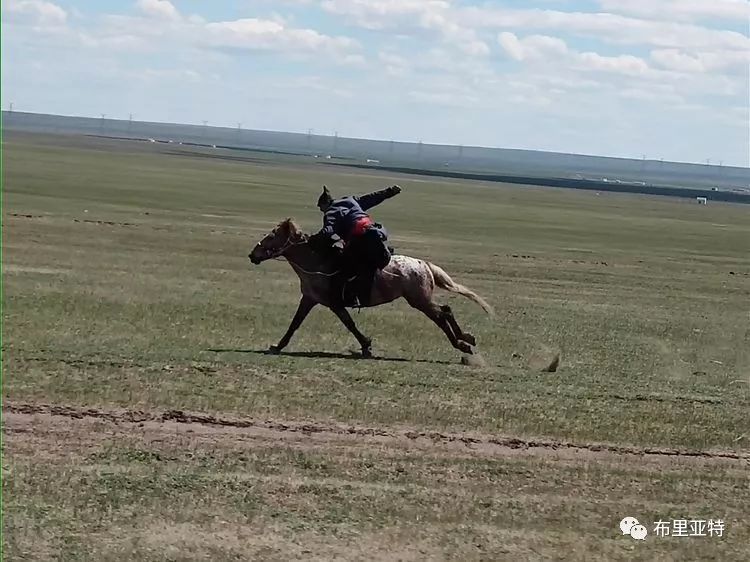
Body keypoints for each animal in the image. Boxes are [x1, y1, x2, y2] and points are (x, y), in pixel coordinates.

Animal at [248, 217, 494, 356]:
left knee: (441, 315)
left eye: (272, 236)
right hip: (420, 300)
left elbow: (349, 324)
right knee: (445, 311)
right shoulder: (310, 299)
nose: (253, 255)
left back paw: (462, 344)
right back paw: (466, 339)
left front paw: (366, 345)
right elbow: (294, 324)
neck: (317, 262)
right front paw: (278, 346)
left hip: (419, 300)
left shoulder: (334, 303)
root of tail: (424, 265)